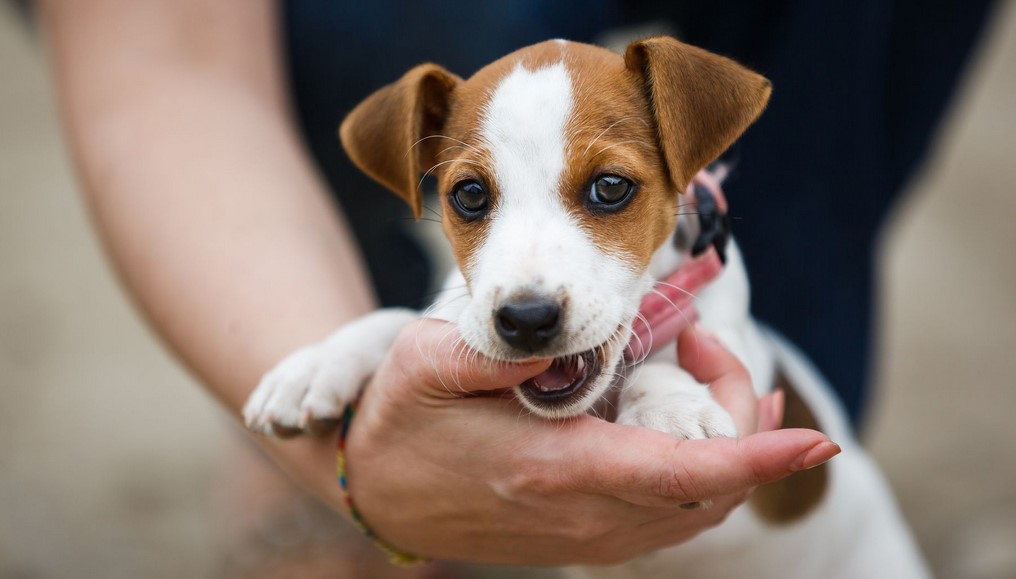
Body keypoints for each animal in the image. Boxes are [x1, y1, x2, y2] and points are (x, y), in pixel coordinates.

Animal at [241, 37, 930, 576]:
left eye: (610, 187)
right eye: (469, 195)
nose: (525, 320)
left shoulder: (741, 353)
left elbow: (671, 355)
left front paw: (671, 408)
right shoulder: (458, 316)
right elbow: (401, 322)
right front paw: (314, 366)